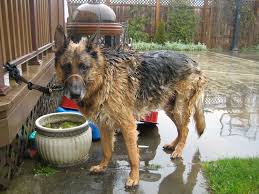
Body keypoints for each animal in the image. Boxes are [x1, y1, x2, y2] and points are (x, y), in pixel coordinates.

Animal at [54, 25, 207, 188]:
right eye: (66, 67)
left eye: (84, 67)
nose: (75, 94)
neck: (104, 79)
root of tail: (194, 62)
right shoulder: (105, 125)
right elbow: (107, 150)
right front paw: (102, 167)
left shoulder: (128, 125)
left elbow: (133, 156)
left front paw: (134, 178)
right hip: (170, 109)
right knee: (181, 129)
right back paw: (173, 145)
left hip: (178, 109)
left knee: (185, 130)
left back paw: (178, 150)